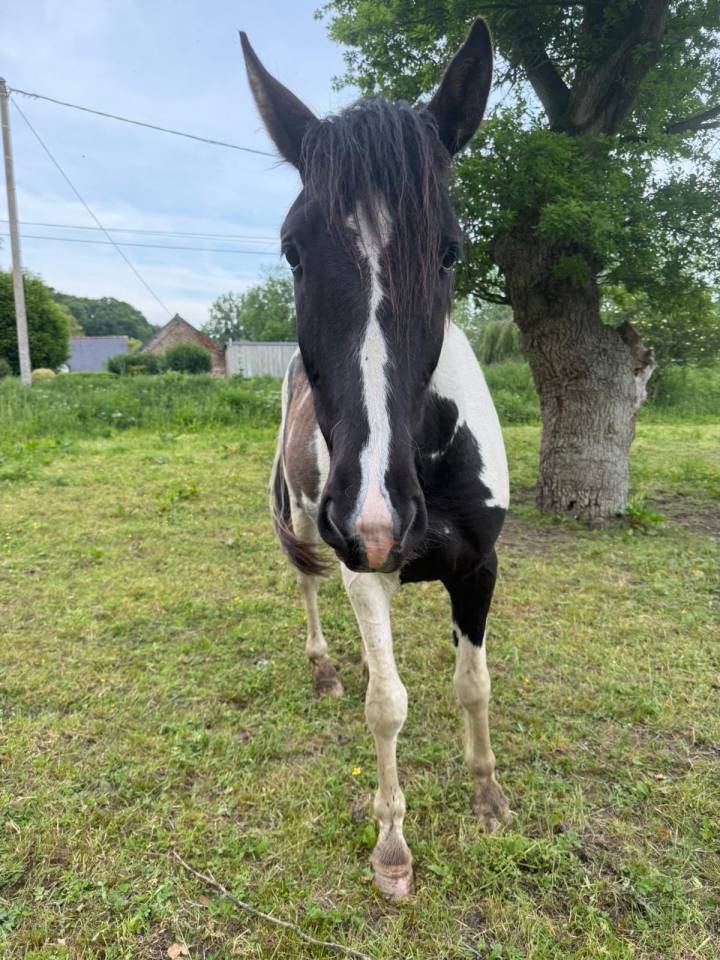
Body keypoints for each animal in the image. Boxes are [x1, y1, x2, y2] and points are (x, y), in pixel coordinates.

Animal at [241, 18, 511, 899]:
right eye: (292, 250)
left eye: (451, 250)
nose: (376, 517)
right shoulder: (363, 567)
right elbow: (388, 707)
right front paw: (393, 846)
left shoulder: (479, 568)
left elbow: (472, 684)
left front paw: (487, 796)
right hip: (302, 522)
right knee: (307, 590)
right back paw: (328, 668)